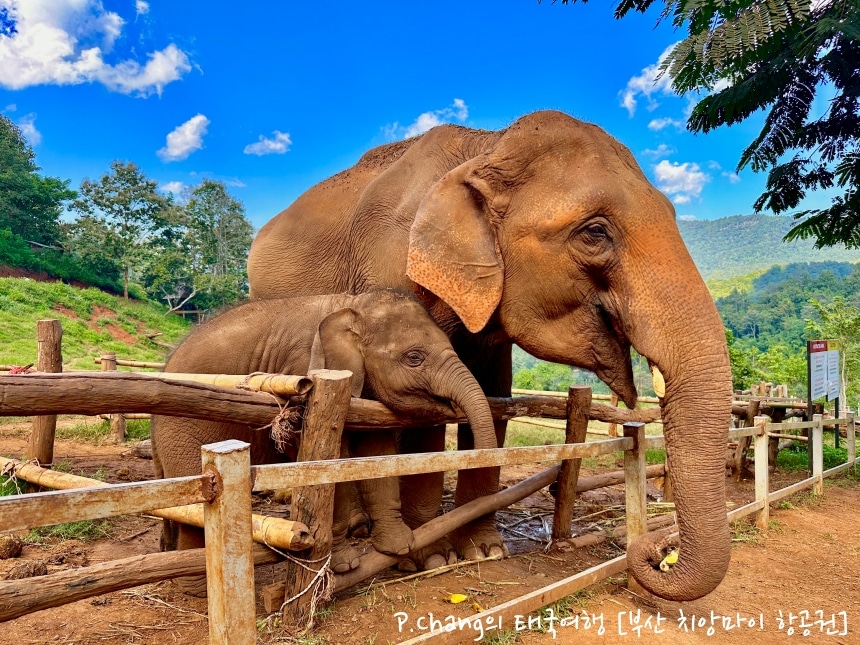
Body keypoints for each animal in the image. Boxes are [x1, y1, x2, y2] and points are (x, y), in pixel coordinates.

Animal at [151, 290, 494, 592]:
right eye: (414, 357)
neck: (352, 306)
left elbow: (377, 447)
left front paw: (399, 547)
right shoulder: (303, 375)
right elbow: (331, 458)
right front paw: (344, 565)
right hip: (184, 429)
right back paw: (198, 589)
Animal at [250, 109, 732, 600]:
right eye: (595, 232)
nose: (653, 553)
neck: (486, 146)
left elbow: (494, 396)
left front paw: (485, 550)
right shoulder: (394, 266)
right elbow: (421, 412)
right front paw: (432, 557)